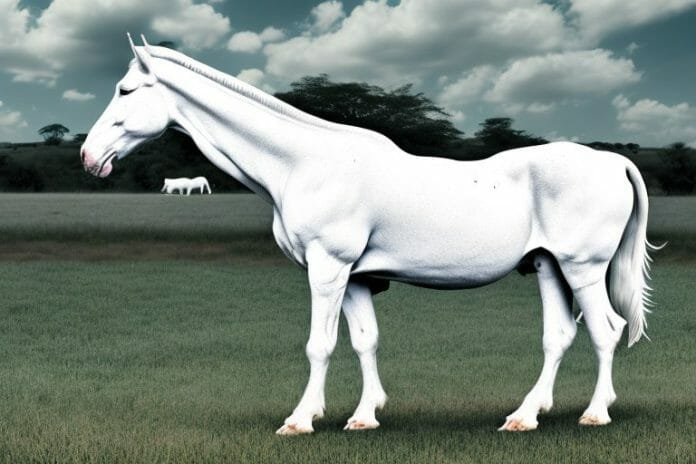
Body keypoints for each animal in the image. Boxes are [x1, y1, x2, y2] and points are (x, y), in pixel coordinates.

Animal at [80, 35, 660, 435]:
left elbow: (320, 345)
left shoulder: (328, 268)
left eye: (125, 89)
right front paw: (364, 416)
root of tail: (612, 161)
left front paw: (300, 420)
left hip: (582, 268)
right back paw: (525, 416)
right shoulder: (358, 278)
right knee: (560, 335)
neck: (304, 163)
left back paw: (594, 414)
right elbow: (365, 341)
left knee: (606, 330)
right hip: (548, 266)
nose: (89, 157)